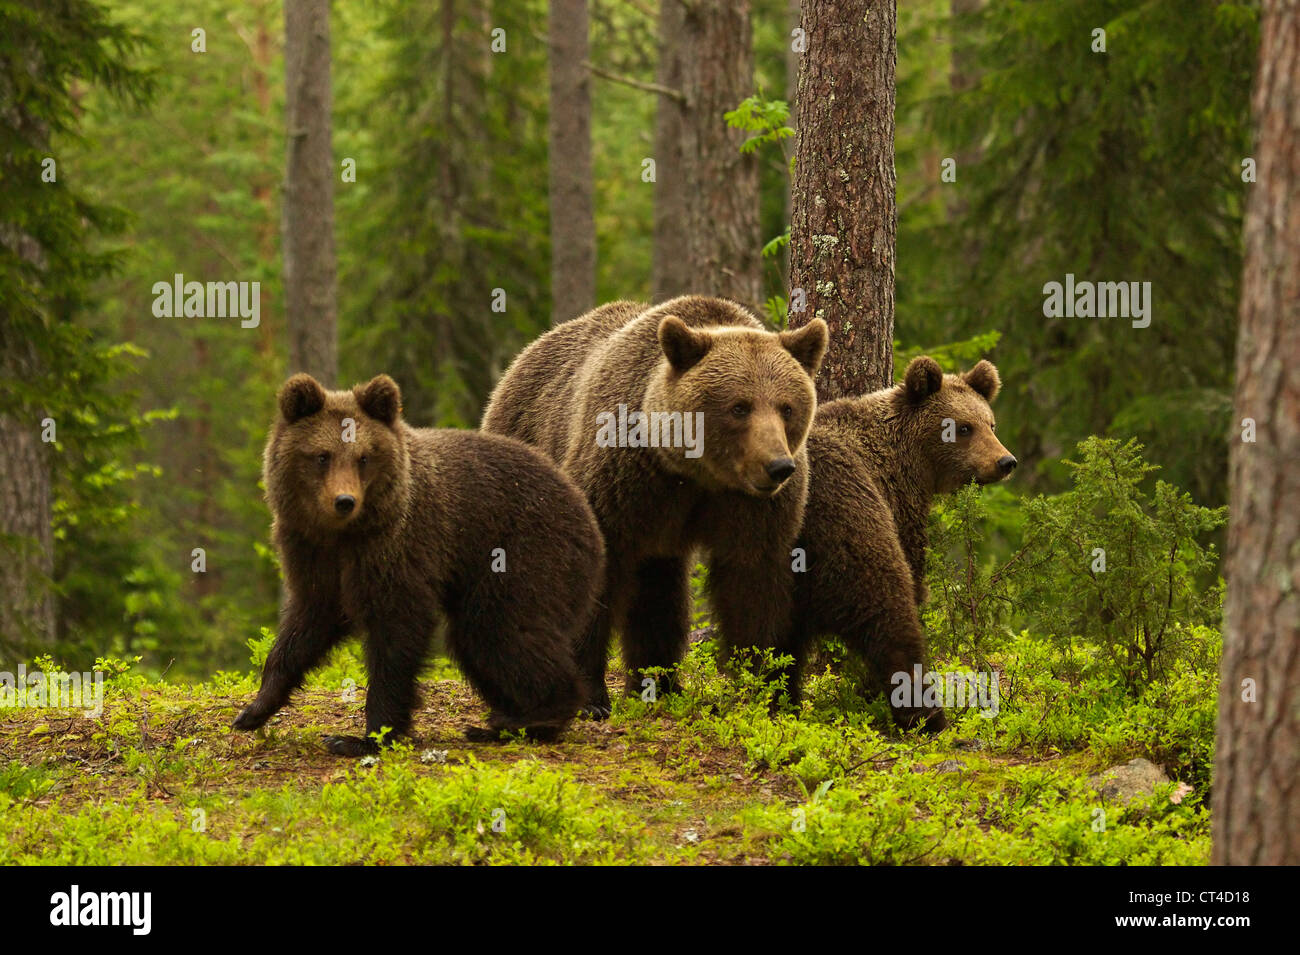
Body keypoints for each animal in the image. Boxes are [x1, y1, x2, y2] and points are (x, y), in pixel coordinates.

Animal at [232, 374, 603, 753]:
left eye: (364, 457)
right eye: (322, 455)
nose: (345, 501)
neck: (342, 534)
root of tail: (586, 515)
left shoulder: (398, 547)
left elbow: (396, 634)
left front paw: (365, 737)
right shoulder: (310, 552)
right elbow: (306, 624)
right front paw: (254, 710)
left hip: (524, 554)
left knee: (501, 630)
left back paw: (530, 719)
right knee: (477, 642)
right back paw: (508, 717)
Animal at [483, 294, 826, 712]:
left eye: (787, 407)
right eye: (739, 407)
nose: (778, 466)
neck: (694, 472)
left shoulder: (749, 507)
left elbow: (752, 584)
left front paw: (763, 687)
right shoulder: (620, 479)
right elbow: (595, 573)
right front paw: (589, 697)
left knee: (659, 592)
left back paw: (660, 683)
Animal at [780, 358, 1013, 732]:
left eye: (991, 424)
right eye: (963, 427)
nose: (1006, 462)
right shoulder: (896, 506)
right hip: (847, 519)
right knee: (887, 612)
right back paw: (926, 715)